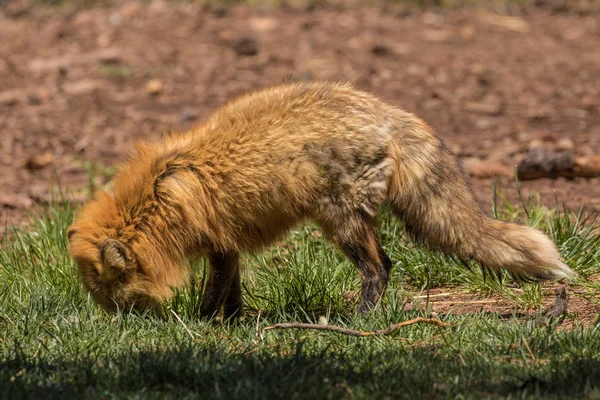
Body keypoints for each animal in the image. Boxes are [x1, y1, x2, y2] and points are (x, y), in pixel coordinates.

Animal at [67, 80, 576, 318]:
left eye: (111, 292)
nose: (115, 322)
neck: (161, 192)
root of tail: (387, 113)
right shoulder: (227, 245)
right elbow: (232, 293)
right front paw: (230, 324)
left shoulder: (217, 244)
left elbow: (214, 295)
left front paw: (203, 324)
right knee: (386, 265)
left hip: (341, 222)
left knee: (380, 269)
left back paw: (359, 322)